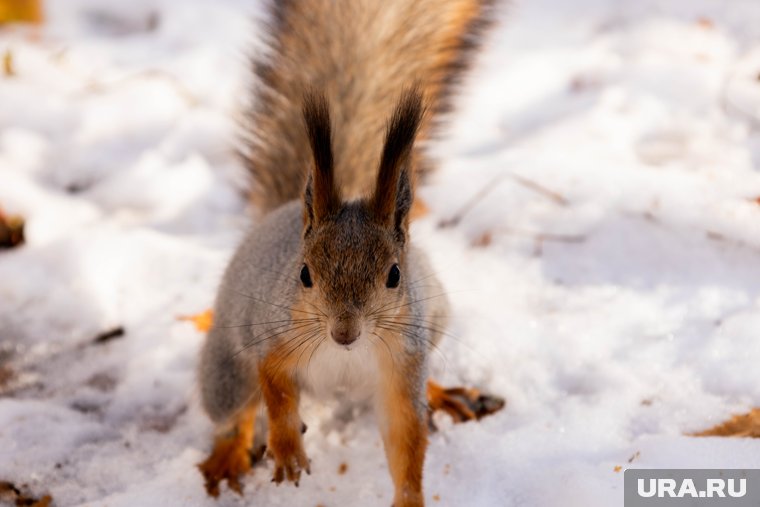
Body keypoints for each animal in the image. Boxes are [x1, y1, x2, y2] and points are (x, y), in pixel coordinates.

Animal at [196, 1, 498, 506]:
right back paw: (229, 456)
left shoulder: (404, 360)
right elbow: (276, 390)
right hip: (227, 369)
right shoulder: (276, 337)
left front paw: (410, 496)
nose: (343, 332)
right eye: (304, 275)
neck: (347, 357)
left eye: (394, 275)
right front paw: (287, 449)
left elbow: (405, 435)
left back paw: (443, 393)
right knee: (236, 410)